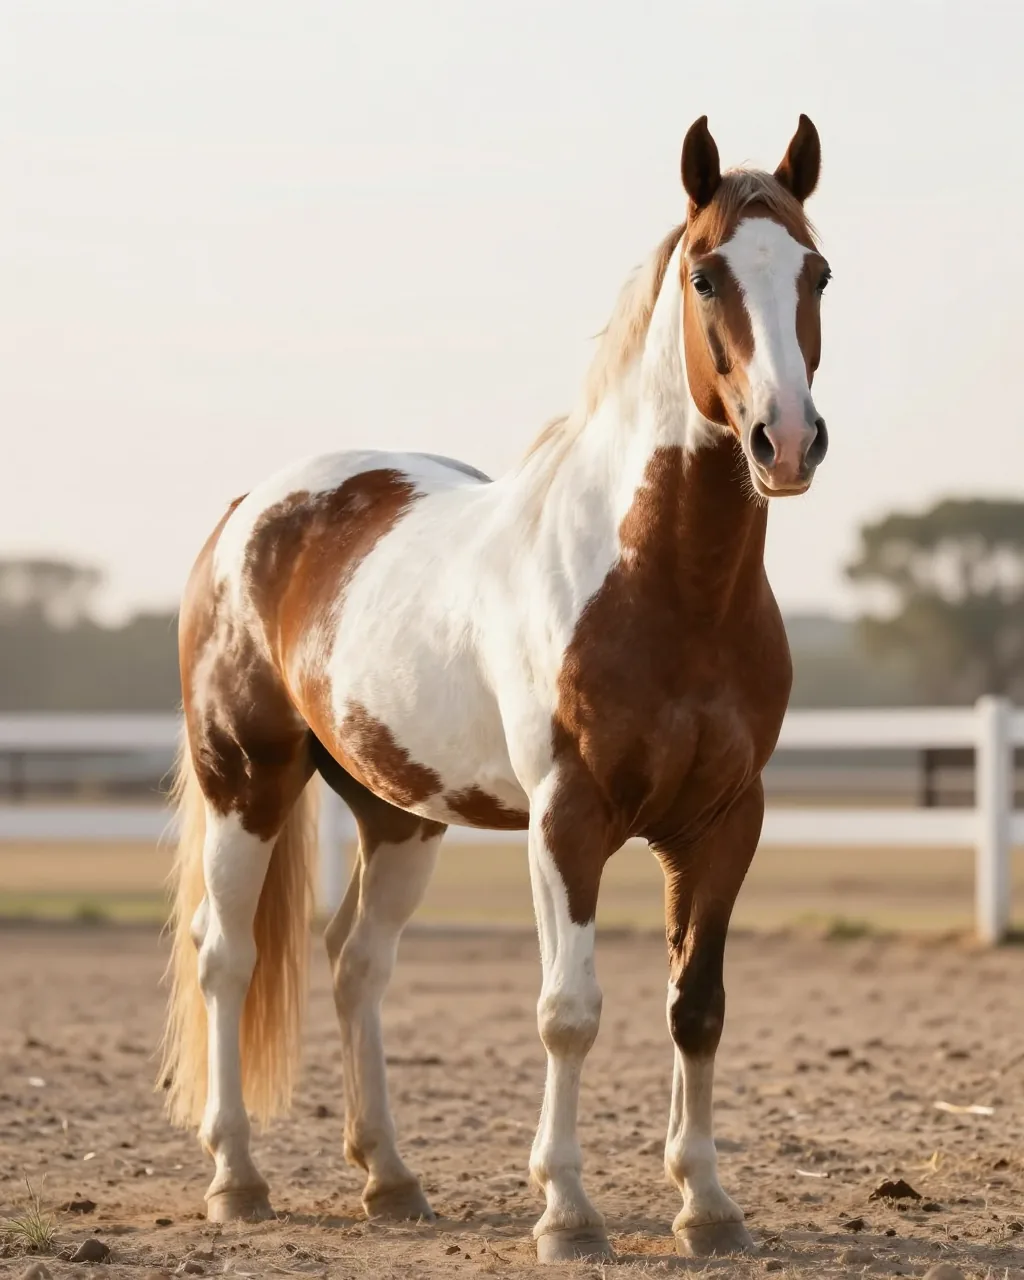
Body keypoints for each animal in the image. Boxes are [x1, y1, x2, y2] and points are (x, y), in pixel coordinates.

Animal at [159, 113, 831, 1263]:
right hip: (247, 780)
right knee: (228, 957)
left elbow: (695, 1005)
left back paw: (390, 1177)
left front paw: (706, 1204)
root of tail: (253, 507)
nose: (783, 440)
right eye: (705, 275)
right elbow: (569, 1009)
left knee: (355, 963)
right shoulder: (568, 818)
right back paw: (236, 1179)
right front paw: (566, 1210)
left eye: (818, 273)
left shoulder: (722, 822)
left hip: (398, 813)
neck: (669, 584)